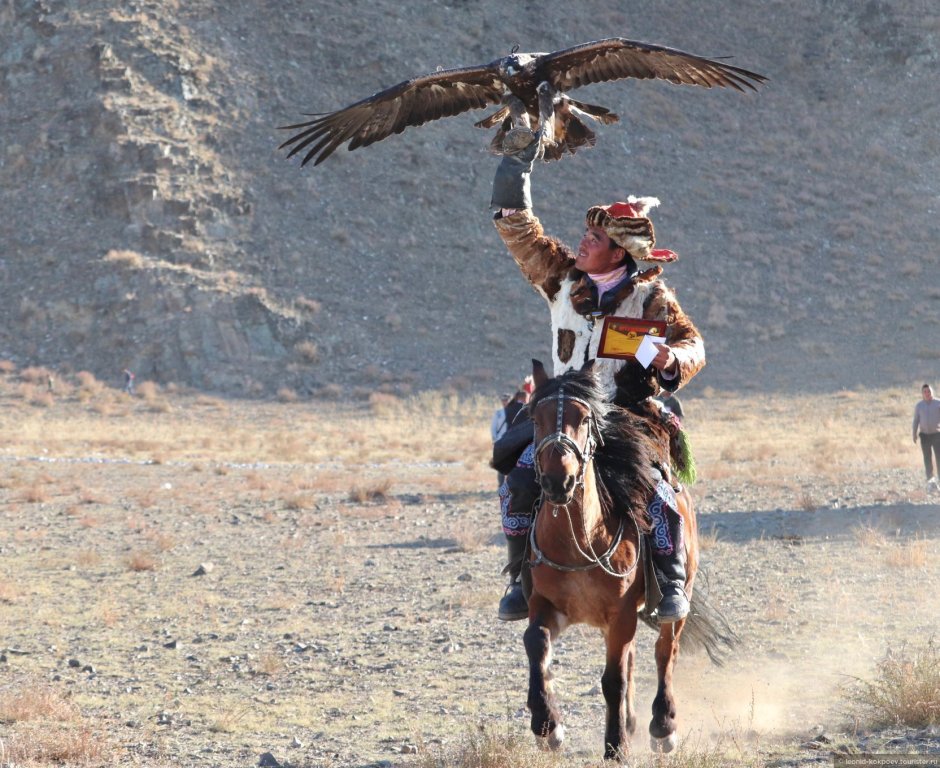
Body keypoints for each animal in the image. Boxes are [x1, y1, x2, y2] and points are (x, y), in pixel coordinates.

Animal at [516, 356, 708, 760]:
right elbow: (536, 646)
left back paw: (662, 726)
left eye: (584, 418)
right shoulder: (545, 605)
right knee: (636, 657)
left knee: (665, 652)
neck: (578, 541)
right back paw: (633, 721)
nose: (558, 480)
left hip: (675, 599)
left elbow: (613, 680)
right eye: (536, 419)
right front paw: (548, 726)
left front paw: (615, 745)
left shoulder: (620, 616)